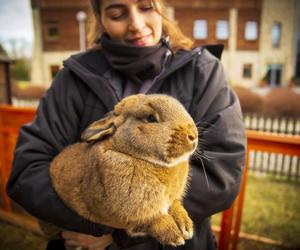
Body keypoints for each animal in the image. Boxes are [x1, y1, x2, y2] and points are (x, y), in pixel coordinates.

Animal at [48, 94, 198, 246]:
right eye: (151, 118)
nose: (193, 135)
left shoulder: (170, 200)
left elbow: (175, 205)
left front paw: (185, 226)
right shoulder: (129, 216)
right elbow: (153, 221)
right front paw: (174, 236)